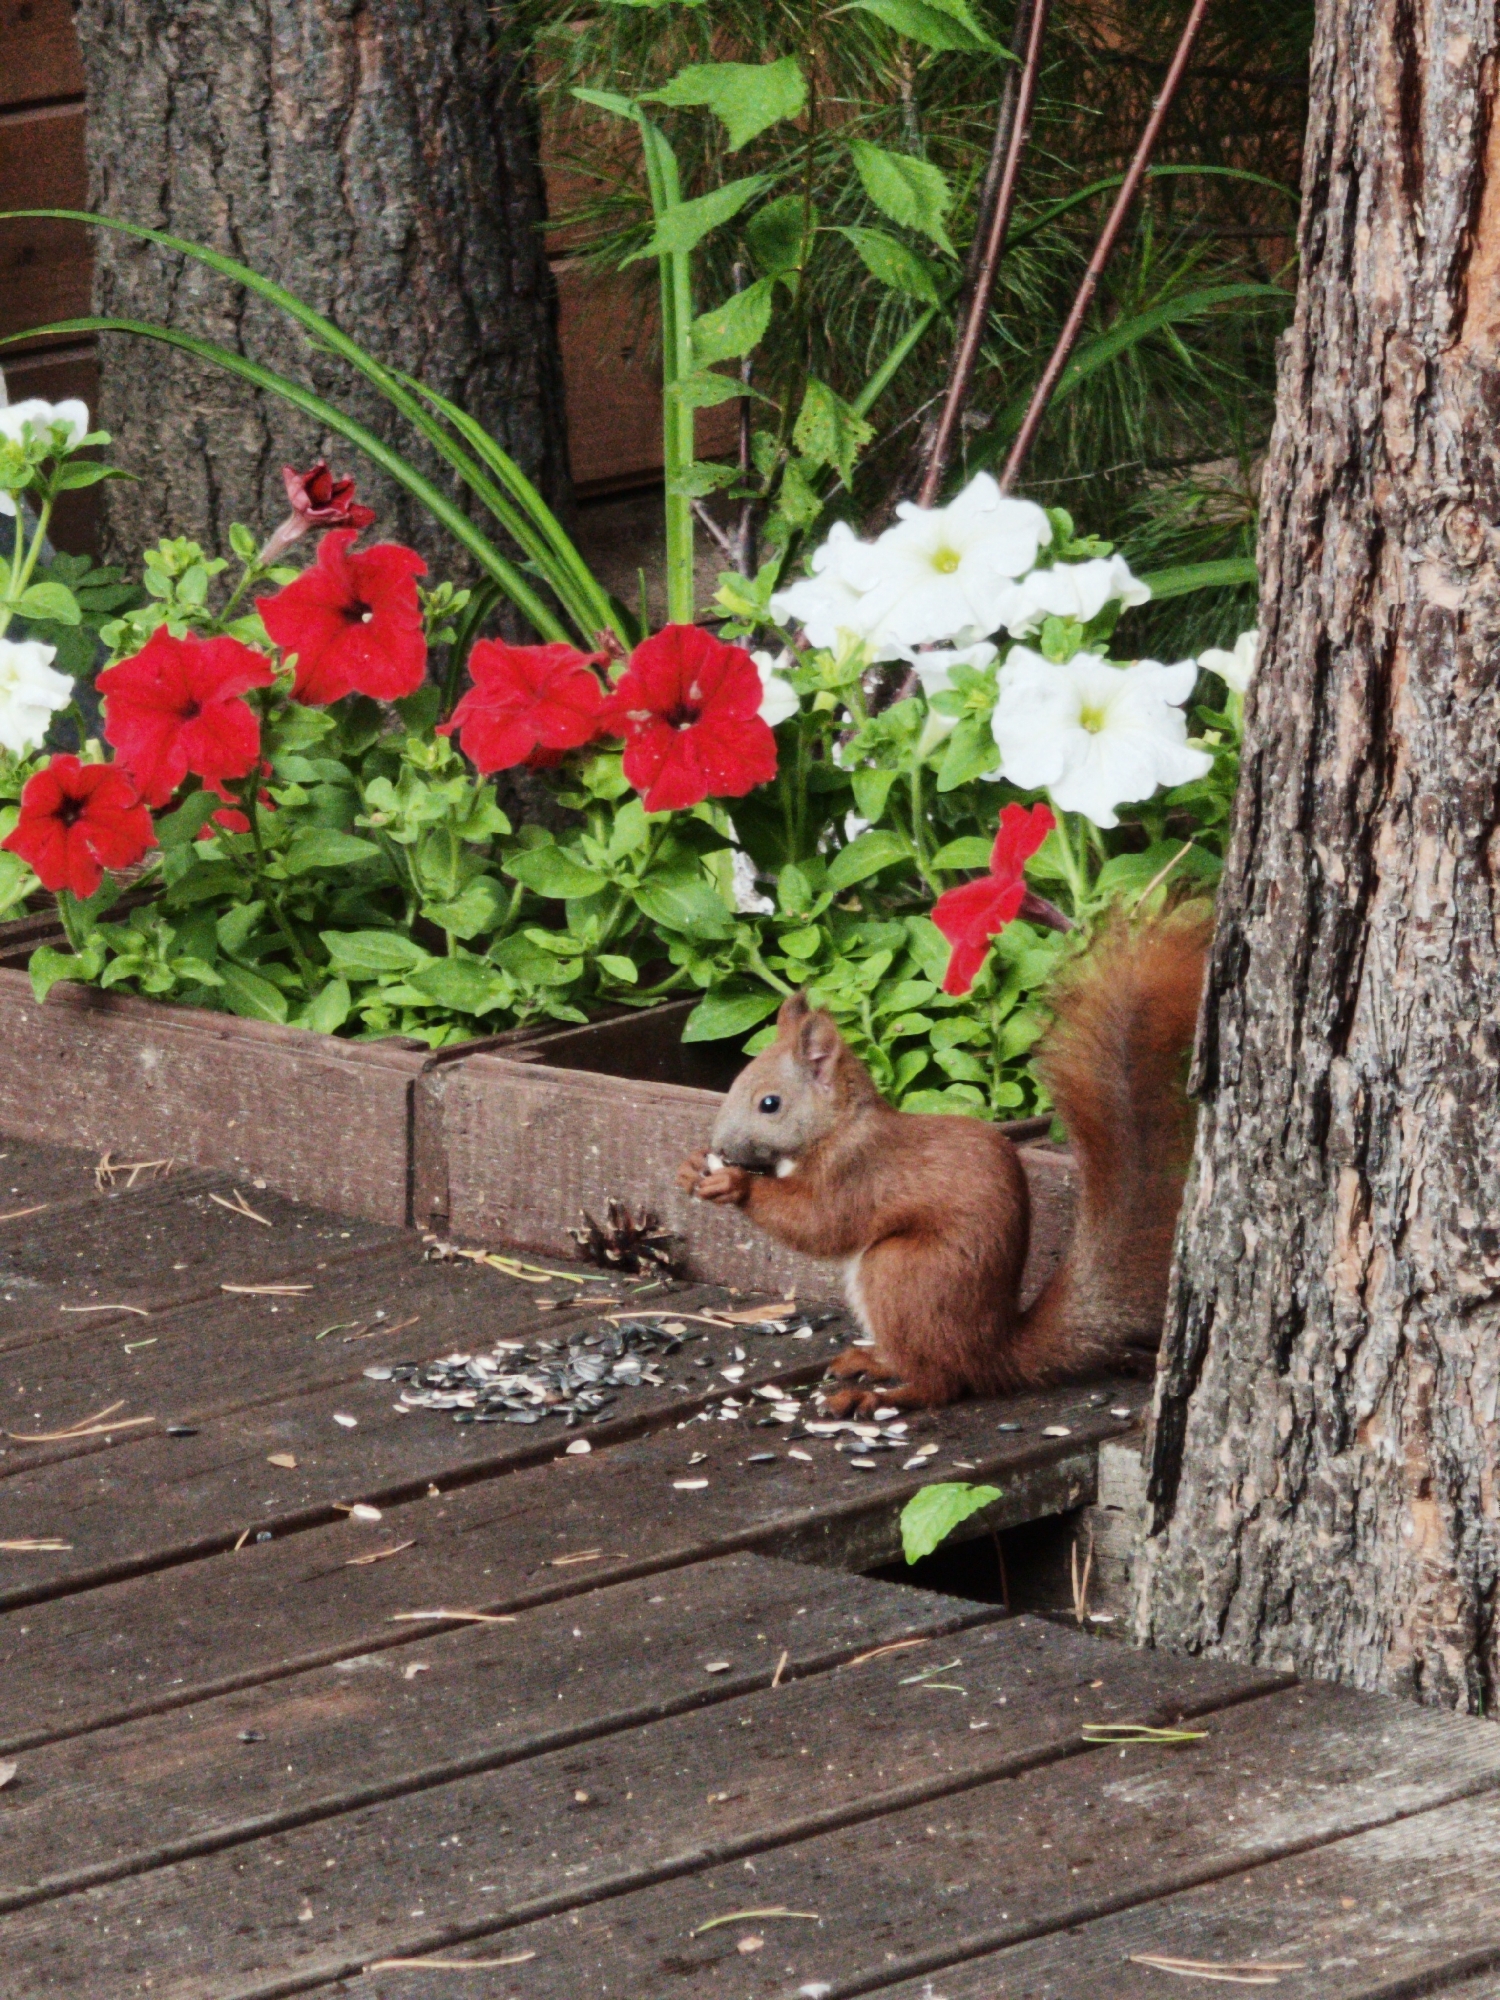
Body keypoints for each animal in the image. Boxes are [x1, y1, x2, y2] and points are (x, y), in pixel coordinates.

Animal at [677, 909, 1210, 1416]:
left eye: (770, 1104)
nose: (720, 1145)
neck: (839, 1126)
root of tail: (992, 1349)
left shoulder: (857, 1171)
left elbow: (818, 1223)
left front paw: (735, 1185)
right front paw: (690, 1167)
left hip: (901, 1272)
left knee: (941, 1383)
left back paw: (878, 1397)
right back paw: (871, 1361)